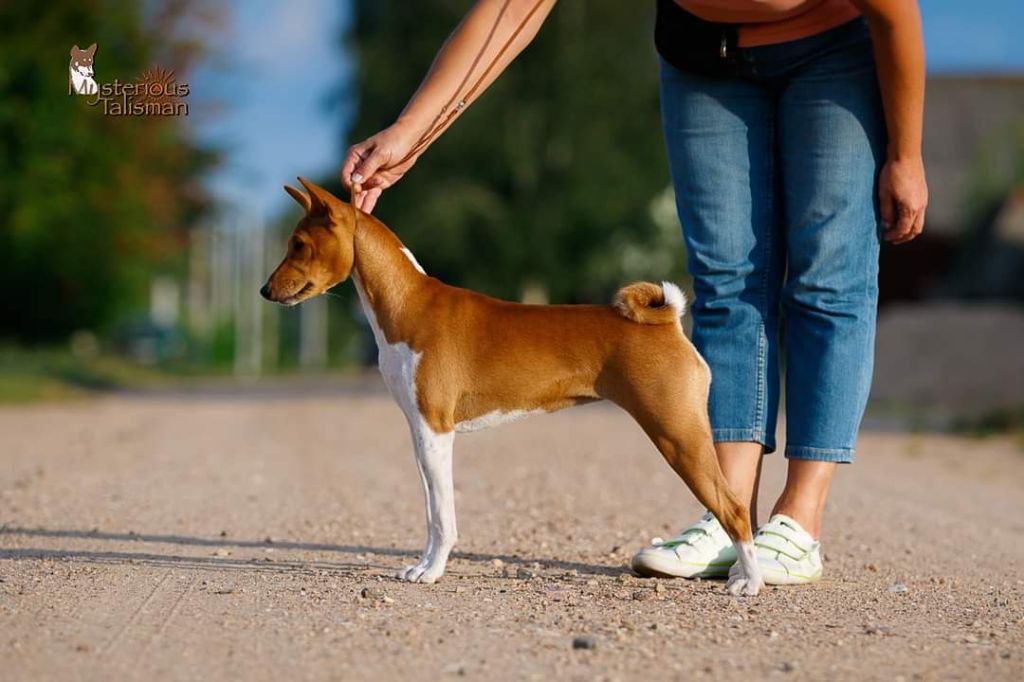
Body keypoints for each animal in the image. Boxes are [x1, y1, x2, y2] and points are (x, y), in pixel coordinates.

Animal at [260, 176, 765, 593]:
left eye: (299, 244)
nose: (265, 291)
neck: (405, 306)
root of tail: (668, 321)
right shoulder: (421, 431)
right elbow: (430, 511)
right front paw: (423, 565)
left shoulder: (435, 430)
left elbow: (442, 517)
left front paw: (431, 571)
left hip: (676, 433)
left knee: (734, 508)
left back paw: (750, 581)